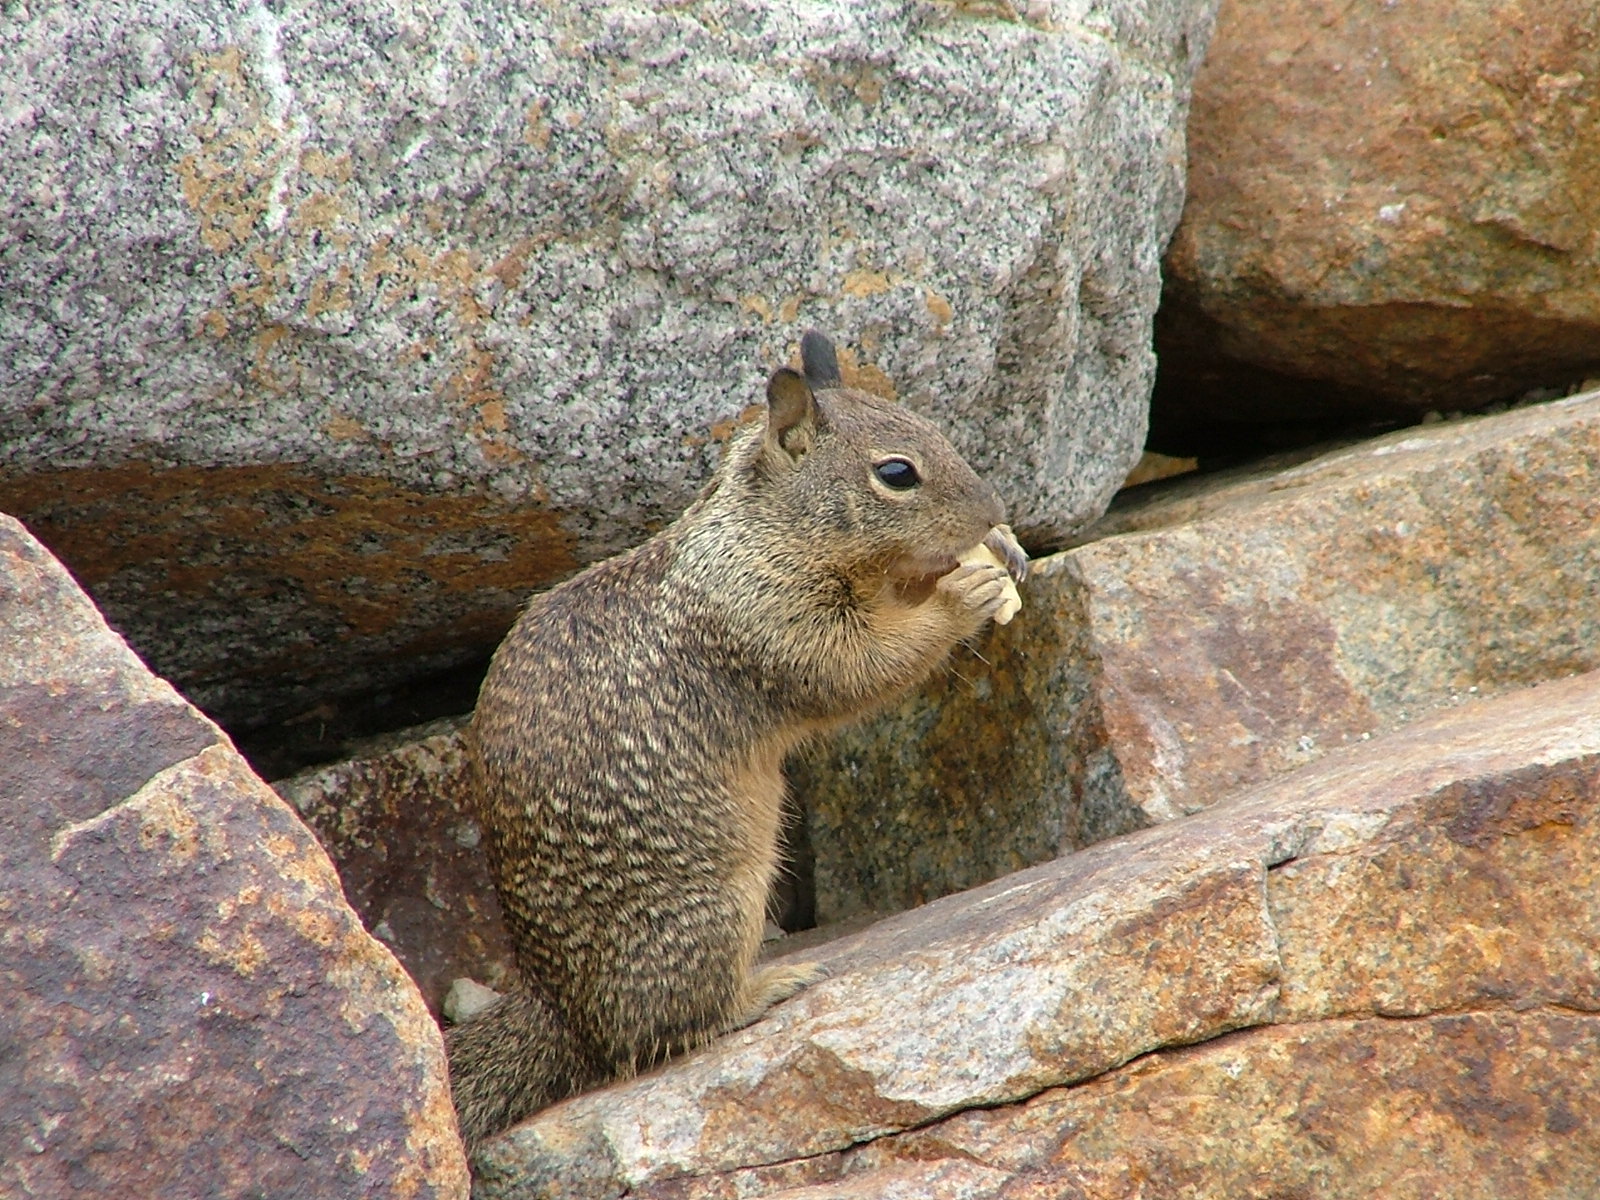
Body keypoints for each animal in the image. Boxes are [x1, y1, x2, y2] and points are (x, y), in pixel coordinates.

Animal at [444, 331, 1030, 1158]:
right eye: (896, 473)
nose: (996, 510)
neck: (761, 530)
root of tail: (564, 1016)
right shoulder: (770, 618)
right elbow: (859, 667)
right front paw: (964, 596)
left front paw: (1002, 550)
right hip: (713, 915)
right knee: (668, 1031)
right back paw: (766, 987)